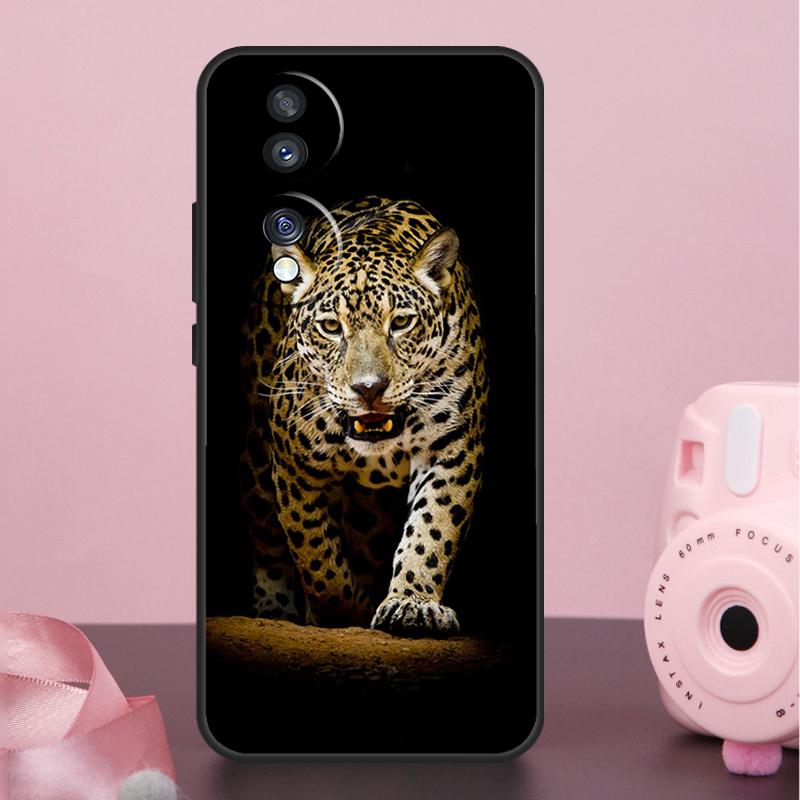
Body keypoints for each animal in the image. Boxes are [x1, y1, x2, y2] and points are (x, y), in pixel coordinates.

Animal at [238, 196, 487, 637]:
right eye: (330, 326)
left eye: (401, 322)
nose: (369, 388)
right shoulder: (294, 466)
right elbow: (316, 553)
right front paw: (341, 612)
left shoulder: (452, 448)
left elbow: (433, 527)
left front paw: (412, 604)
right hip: (255, 463)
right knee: (267, 539)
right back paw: (273, 609)